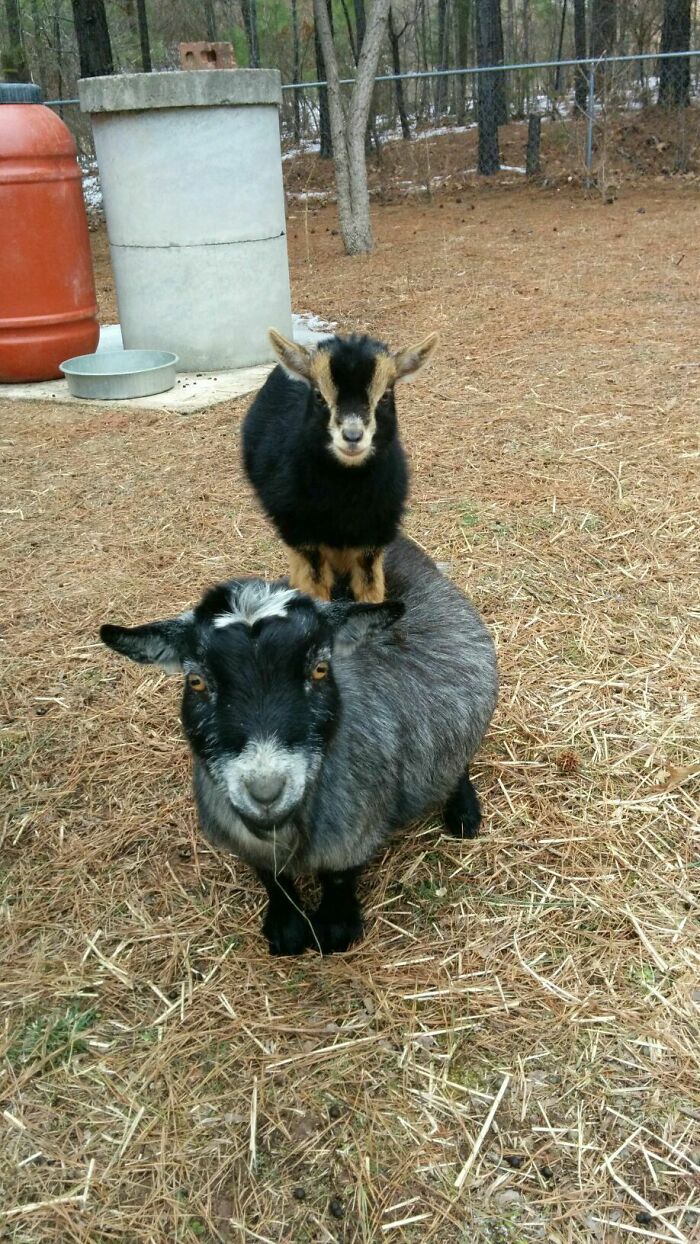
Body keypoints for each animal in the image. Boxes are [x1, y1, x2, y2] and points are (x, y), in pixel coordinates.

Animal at [100, 537, 497, 956]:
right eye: (196, 681)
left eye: (320, 669)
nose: (265, 791)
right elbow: (272, 877)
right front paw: (287, 927)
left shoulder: (351, 833)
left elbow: (337, 877)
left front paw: (335, 927)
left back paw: (463, 813)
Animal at [241, 330, 437, 604]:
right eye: (319, 396)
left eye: (385, 396)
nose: (352, 436)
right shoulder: (303, 538)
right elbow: (315, 589)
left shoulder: (372, 538)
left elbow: (370, 589)